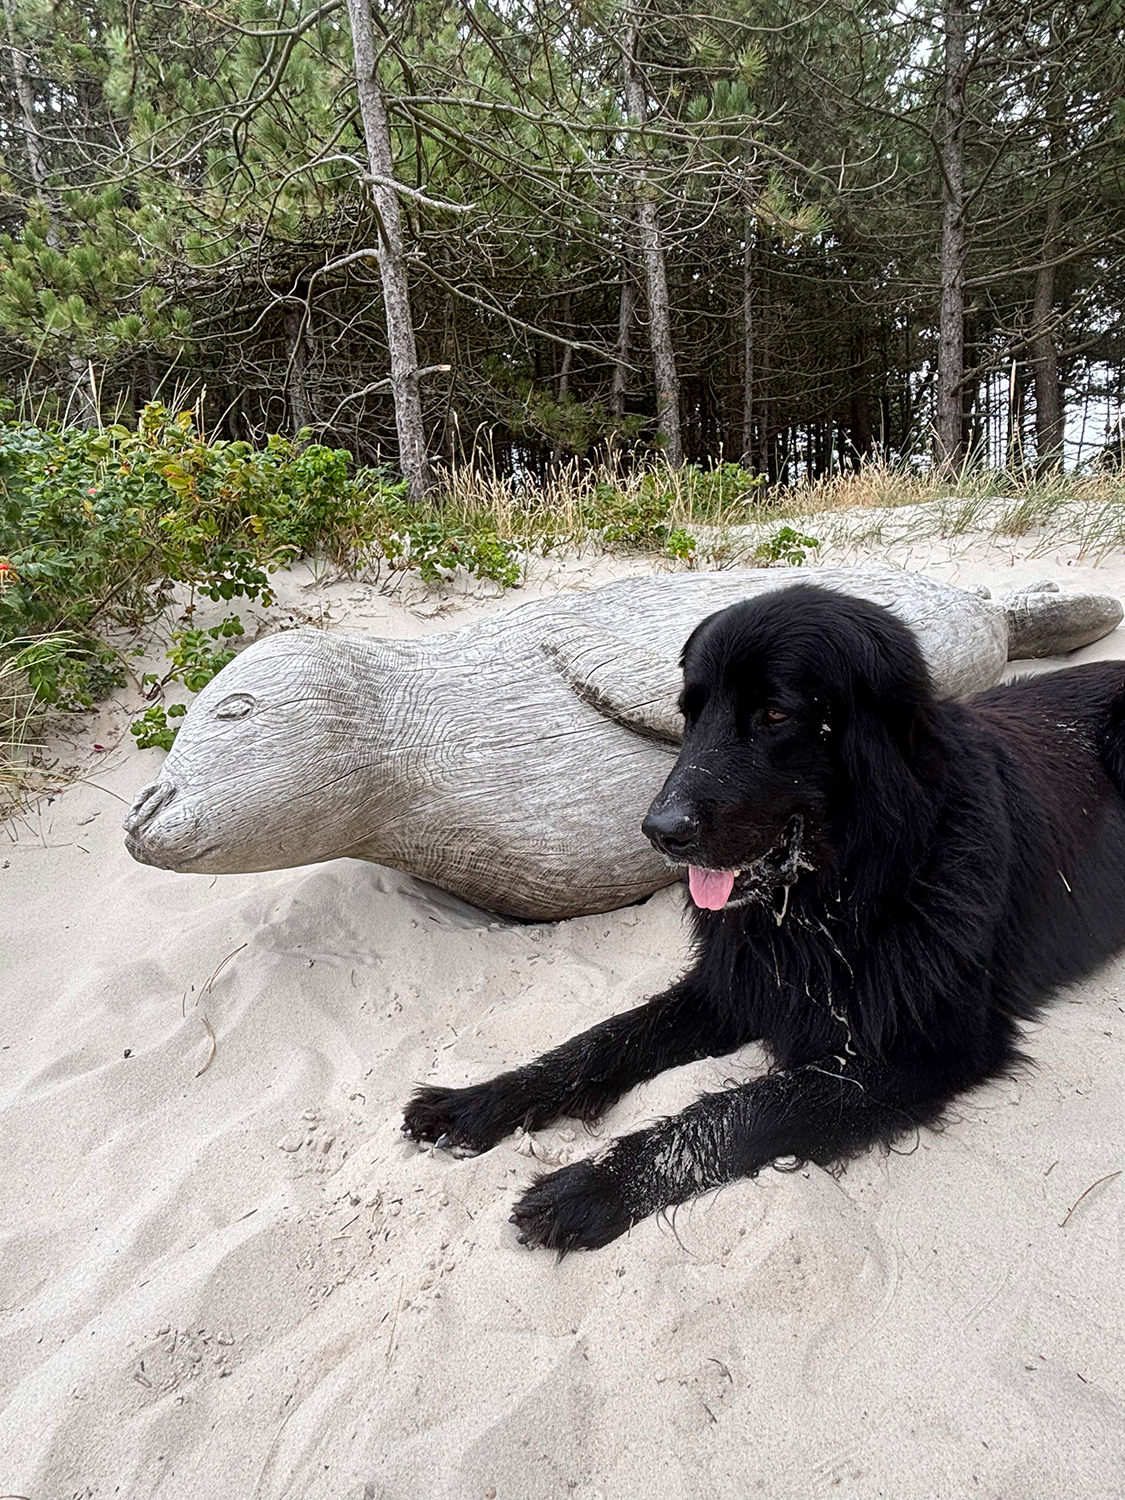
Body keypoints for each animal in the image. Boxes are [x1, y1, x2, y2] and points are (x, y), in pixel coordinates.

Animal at [404, 583, 1125, 1252]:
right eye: (689, 714)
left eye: (774, 714)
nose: (659, 832)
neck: (846, 893)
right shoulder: (739, 982)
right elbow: (601, 1040)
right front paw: (479, 1100)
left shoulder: (920, 1051)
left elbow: (740, 1109)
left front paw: (594, 1185)